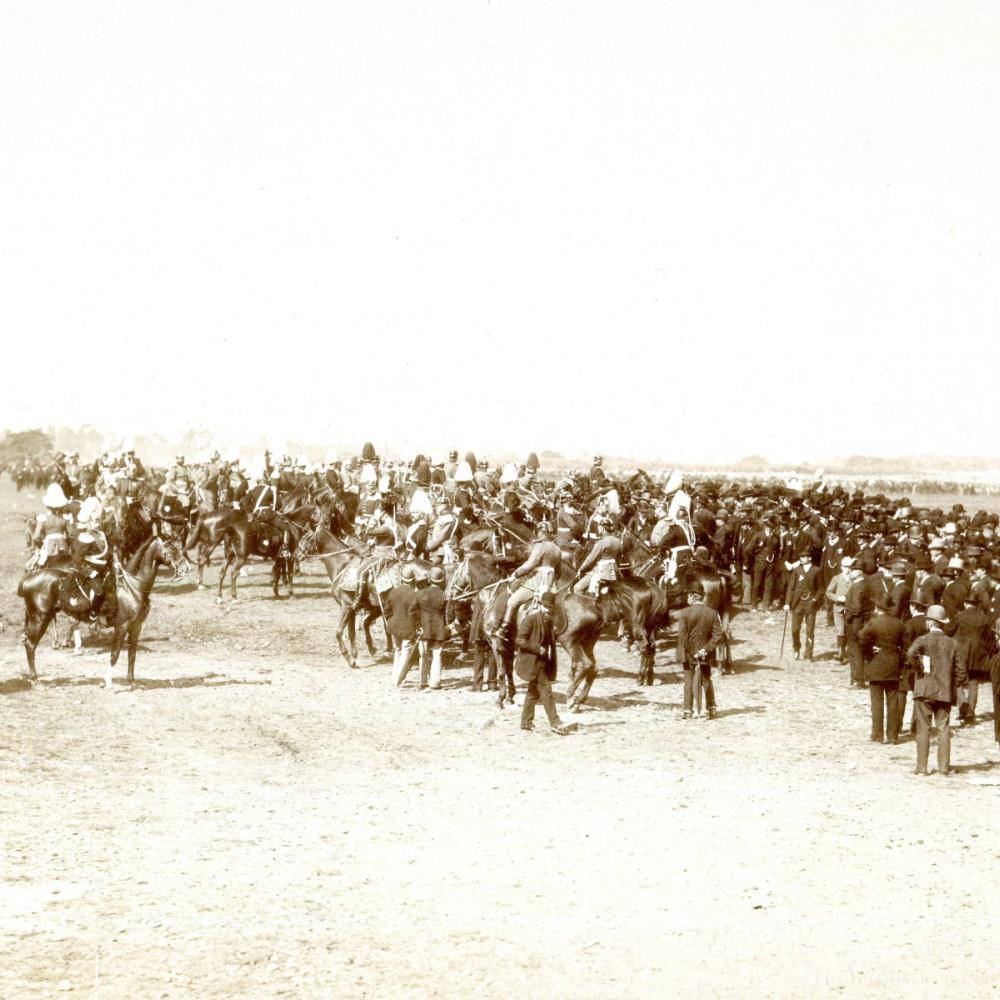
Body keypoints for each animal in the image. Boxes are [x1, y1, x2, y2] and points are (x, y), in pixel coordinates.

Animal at [17, 540, 182, 688]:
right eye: (173, 548)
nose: (184, 569)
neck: (133, 587)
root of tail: (29, 577)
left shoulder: (136, 627)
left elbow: (132, 655)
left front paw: (131, 681)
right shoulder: (122, 626)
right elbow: (114, 655)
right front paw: (108, 683)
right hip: (40, 619)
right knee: (30, 645)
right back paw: (35, 680)